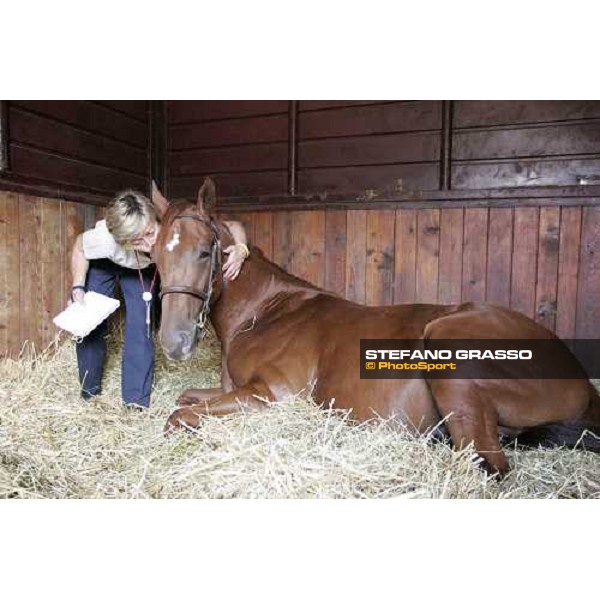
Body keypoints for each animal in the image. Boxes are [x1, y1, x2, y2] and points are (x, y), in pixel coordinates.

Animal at [149, 179, 600, 478]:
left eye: (204, 252)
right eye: (154, 255)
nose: (173, 342)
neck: (264, 313)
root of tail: (583, 383)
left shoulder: (272, 396)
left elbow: (179, 415)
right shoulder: (230, 390)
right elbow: (186, 398)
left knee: (489, 465)